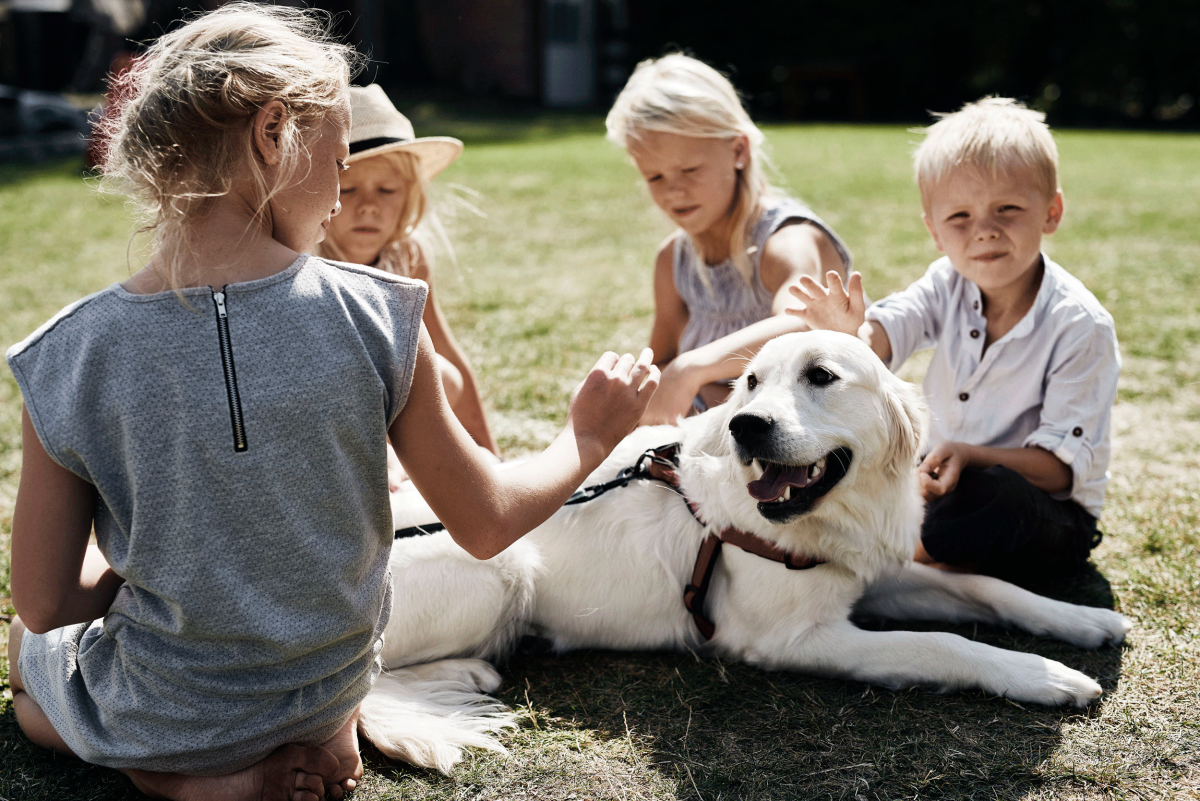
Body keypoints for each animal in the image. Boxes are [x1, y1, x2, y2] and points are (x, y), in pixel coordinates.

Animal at [360, 330, 1128, 767]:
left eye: (821, 376)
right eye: (752, 382)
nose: (746, 425)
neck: (827, 518)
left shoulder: (872, 571)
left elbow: (985, 586)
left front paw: (1082, 622)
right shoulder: (794, 638)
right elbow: (940, 644)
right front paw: (1044, 676)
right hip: (501, 564)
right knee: (367, 685)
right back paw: (466, 671)